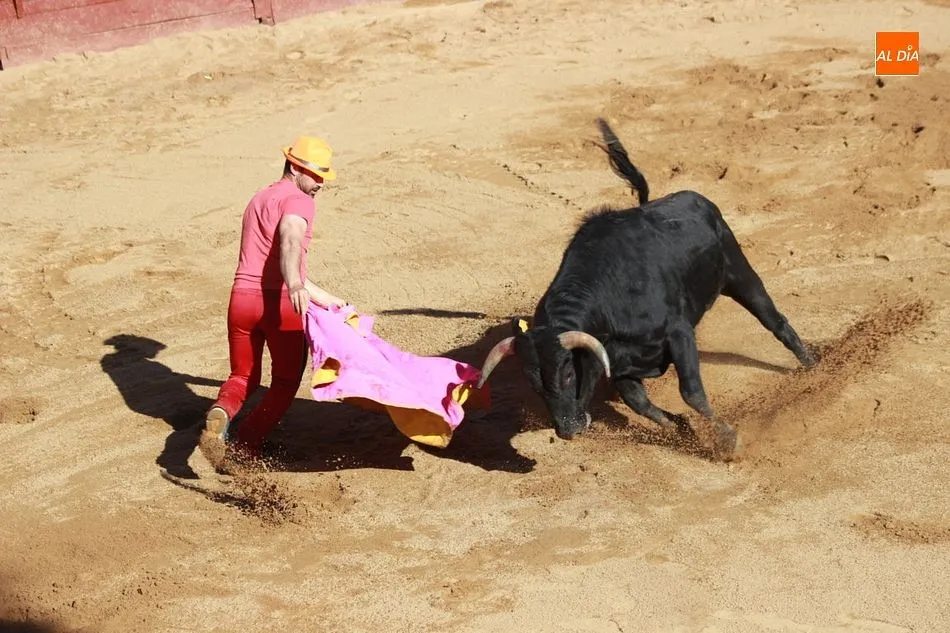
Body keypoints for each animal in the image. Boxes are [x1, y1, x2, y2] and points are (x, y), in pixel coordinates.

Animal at [475, 118, 818, 460]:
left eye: (568, 373)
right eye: (533, 383)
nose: (567, 430)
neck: (606, 307)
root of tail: (698, 200)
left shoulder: (679, 334)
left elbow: (691, 392)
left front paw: (728, 440)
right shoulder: (619, 366)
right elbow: (639, 403)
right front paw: (681, 430)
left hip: (740, 274)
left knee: (776, 322)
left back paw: (813, 368)